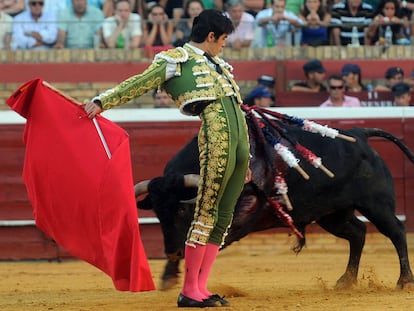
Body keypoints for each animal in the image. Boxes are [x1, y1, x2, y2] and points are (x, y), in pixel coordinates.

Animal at [136, 123, 414, 290]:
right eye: (158, 213)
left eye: (182, 210)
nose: (172, 252)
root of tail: (359, 134)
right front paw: (168, 277)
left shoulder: (237, 220)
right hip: (331, 214)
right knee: (358, 233)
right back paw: (346, 281)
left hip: (376, 204)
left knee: (396, 231)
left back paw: (405, 281)